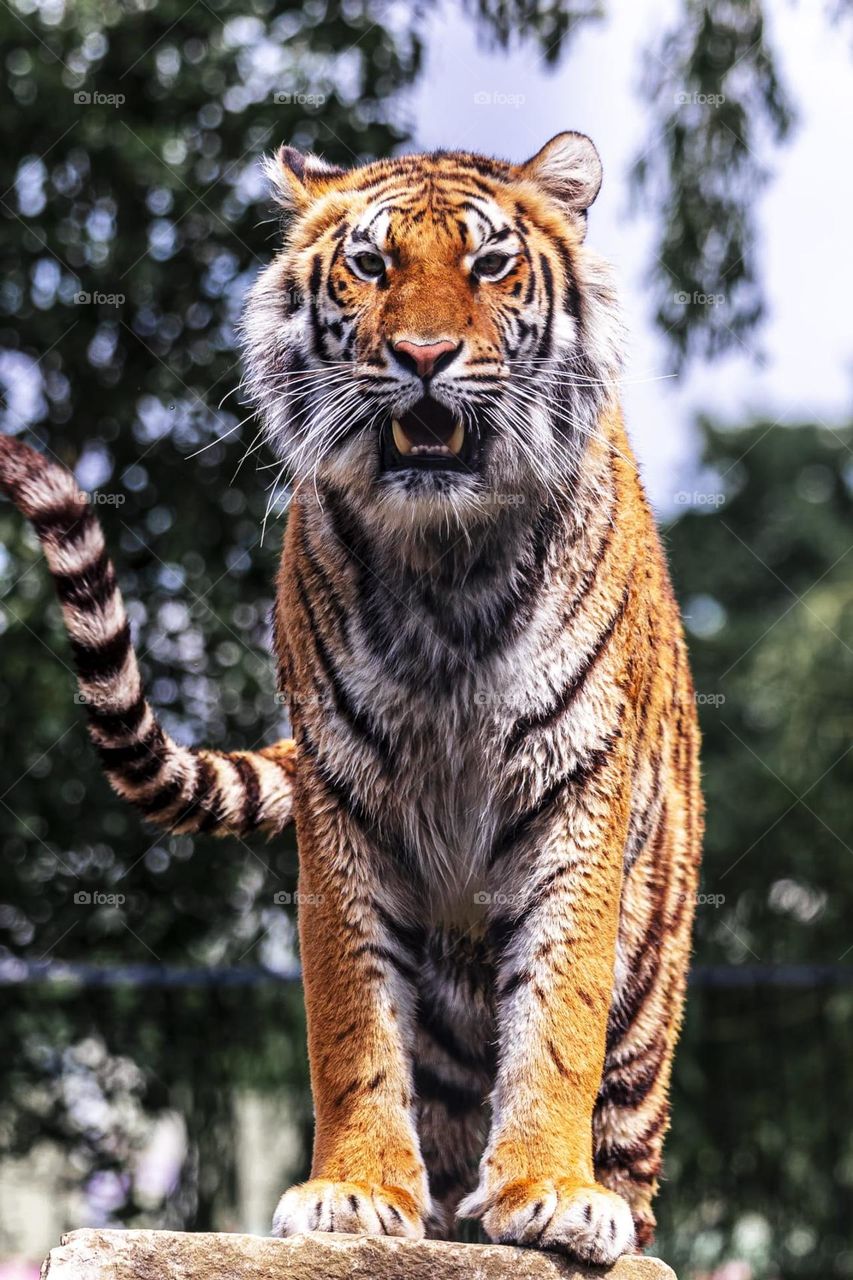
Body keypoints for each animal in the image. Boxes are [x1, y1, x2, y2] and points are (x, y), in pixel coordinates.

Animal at [0, 135, 701, 1264]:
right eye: (370, 267)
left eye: (490, 265)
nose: (422, 355)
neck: (450, 559)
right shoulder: (346, 800)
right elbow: (351, 1020)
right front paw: (354, 1192)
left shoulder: (575, 793)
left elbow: (558, 1011)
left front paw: (550, 1189)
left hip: (649, 1001)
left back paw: (603, 1215)